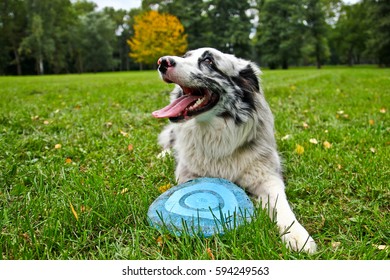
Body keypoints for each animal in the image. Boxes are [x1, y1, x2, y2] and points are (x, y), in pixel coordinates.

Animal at [152, 47, 316, 253]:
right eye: (185, 56)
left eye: (209, 61)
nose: (162, 61)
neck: (217, 134)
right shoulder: (188, 174)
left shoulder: (268, 178)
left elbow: (282, 205)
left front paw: (297, 235)